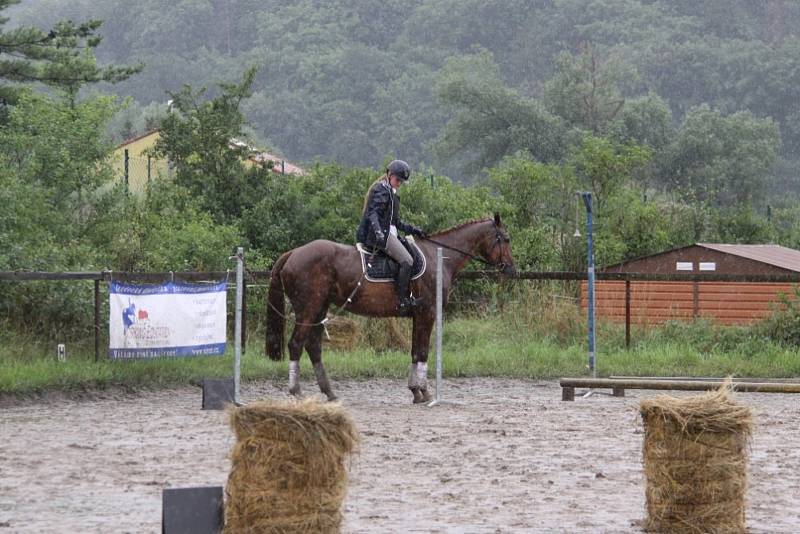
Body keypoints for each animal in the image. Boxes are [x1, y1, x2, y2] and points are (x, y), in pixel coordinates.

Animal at [264, 213, 512, 402]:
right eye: (505, 239)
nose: (512, 269)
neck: (439, 258)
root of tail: (293, 253)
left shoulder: (418, 316)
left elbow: (415, 351)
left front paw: (415, 391)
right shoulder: (427, 313)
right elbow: (423, 351)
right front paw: (424, 392)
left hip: (319, 308)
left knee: (314, 346)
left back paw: (330, 393)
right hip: (307, 309)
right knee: (296, 344)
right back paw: (297, 391)